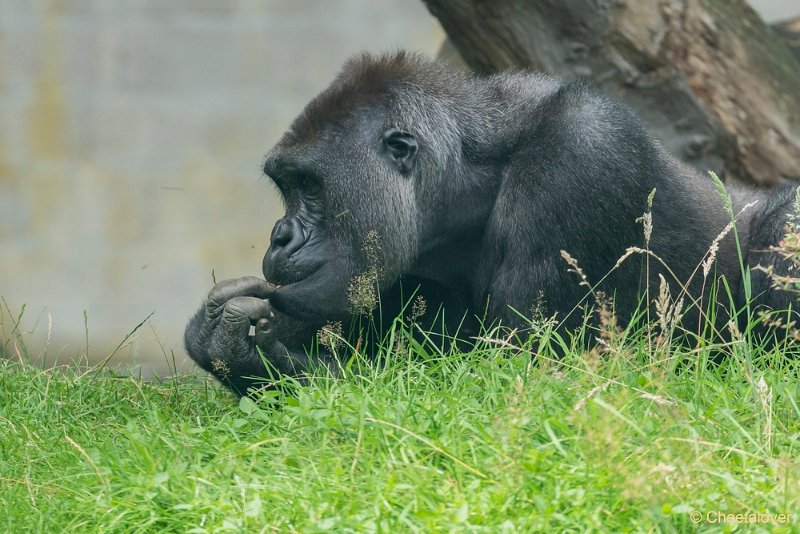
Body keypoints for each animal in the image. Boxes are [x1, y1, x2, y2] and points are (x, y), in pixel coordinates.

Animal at [186, 52, 792, 396]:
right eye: (286, 188)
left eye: (310, 187)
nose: (280, 235)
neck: (472, 179)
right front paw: (229, 348)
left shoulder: (584, 154)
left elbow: (510, 381)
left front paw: (259, 356)